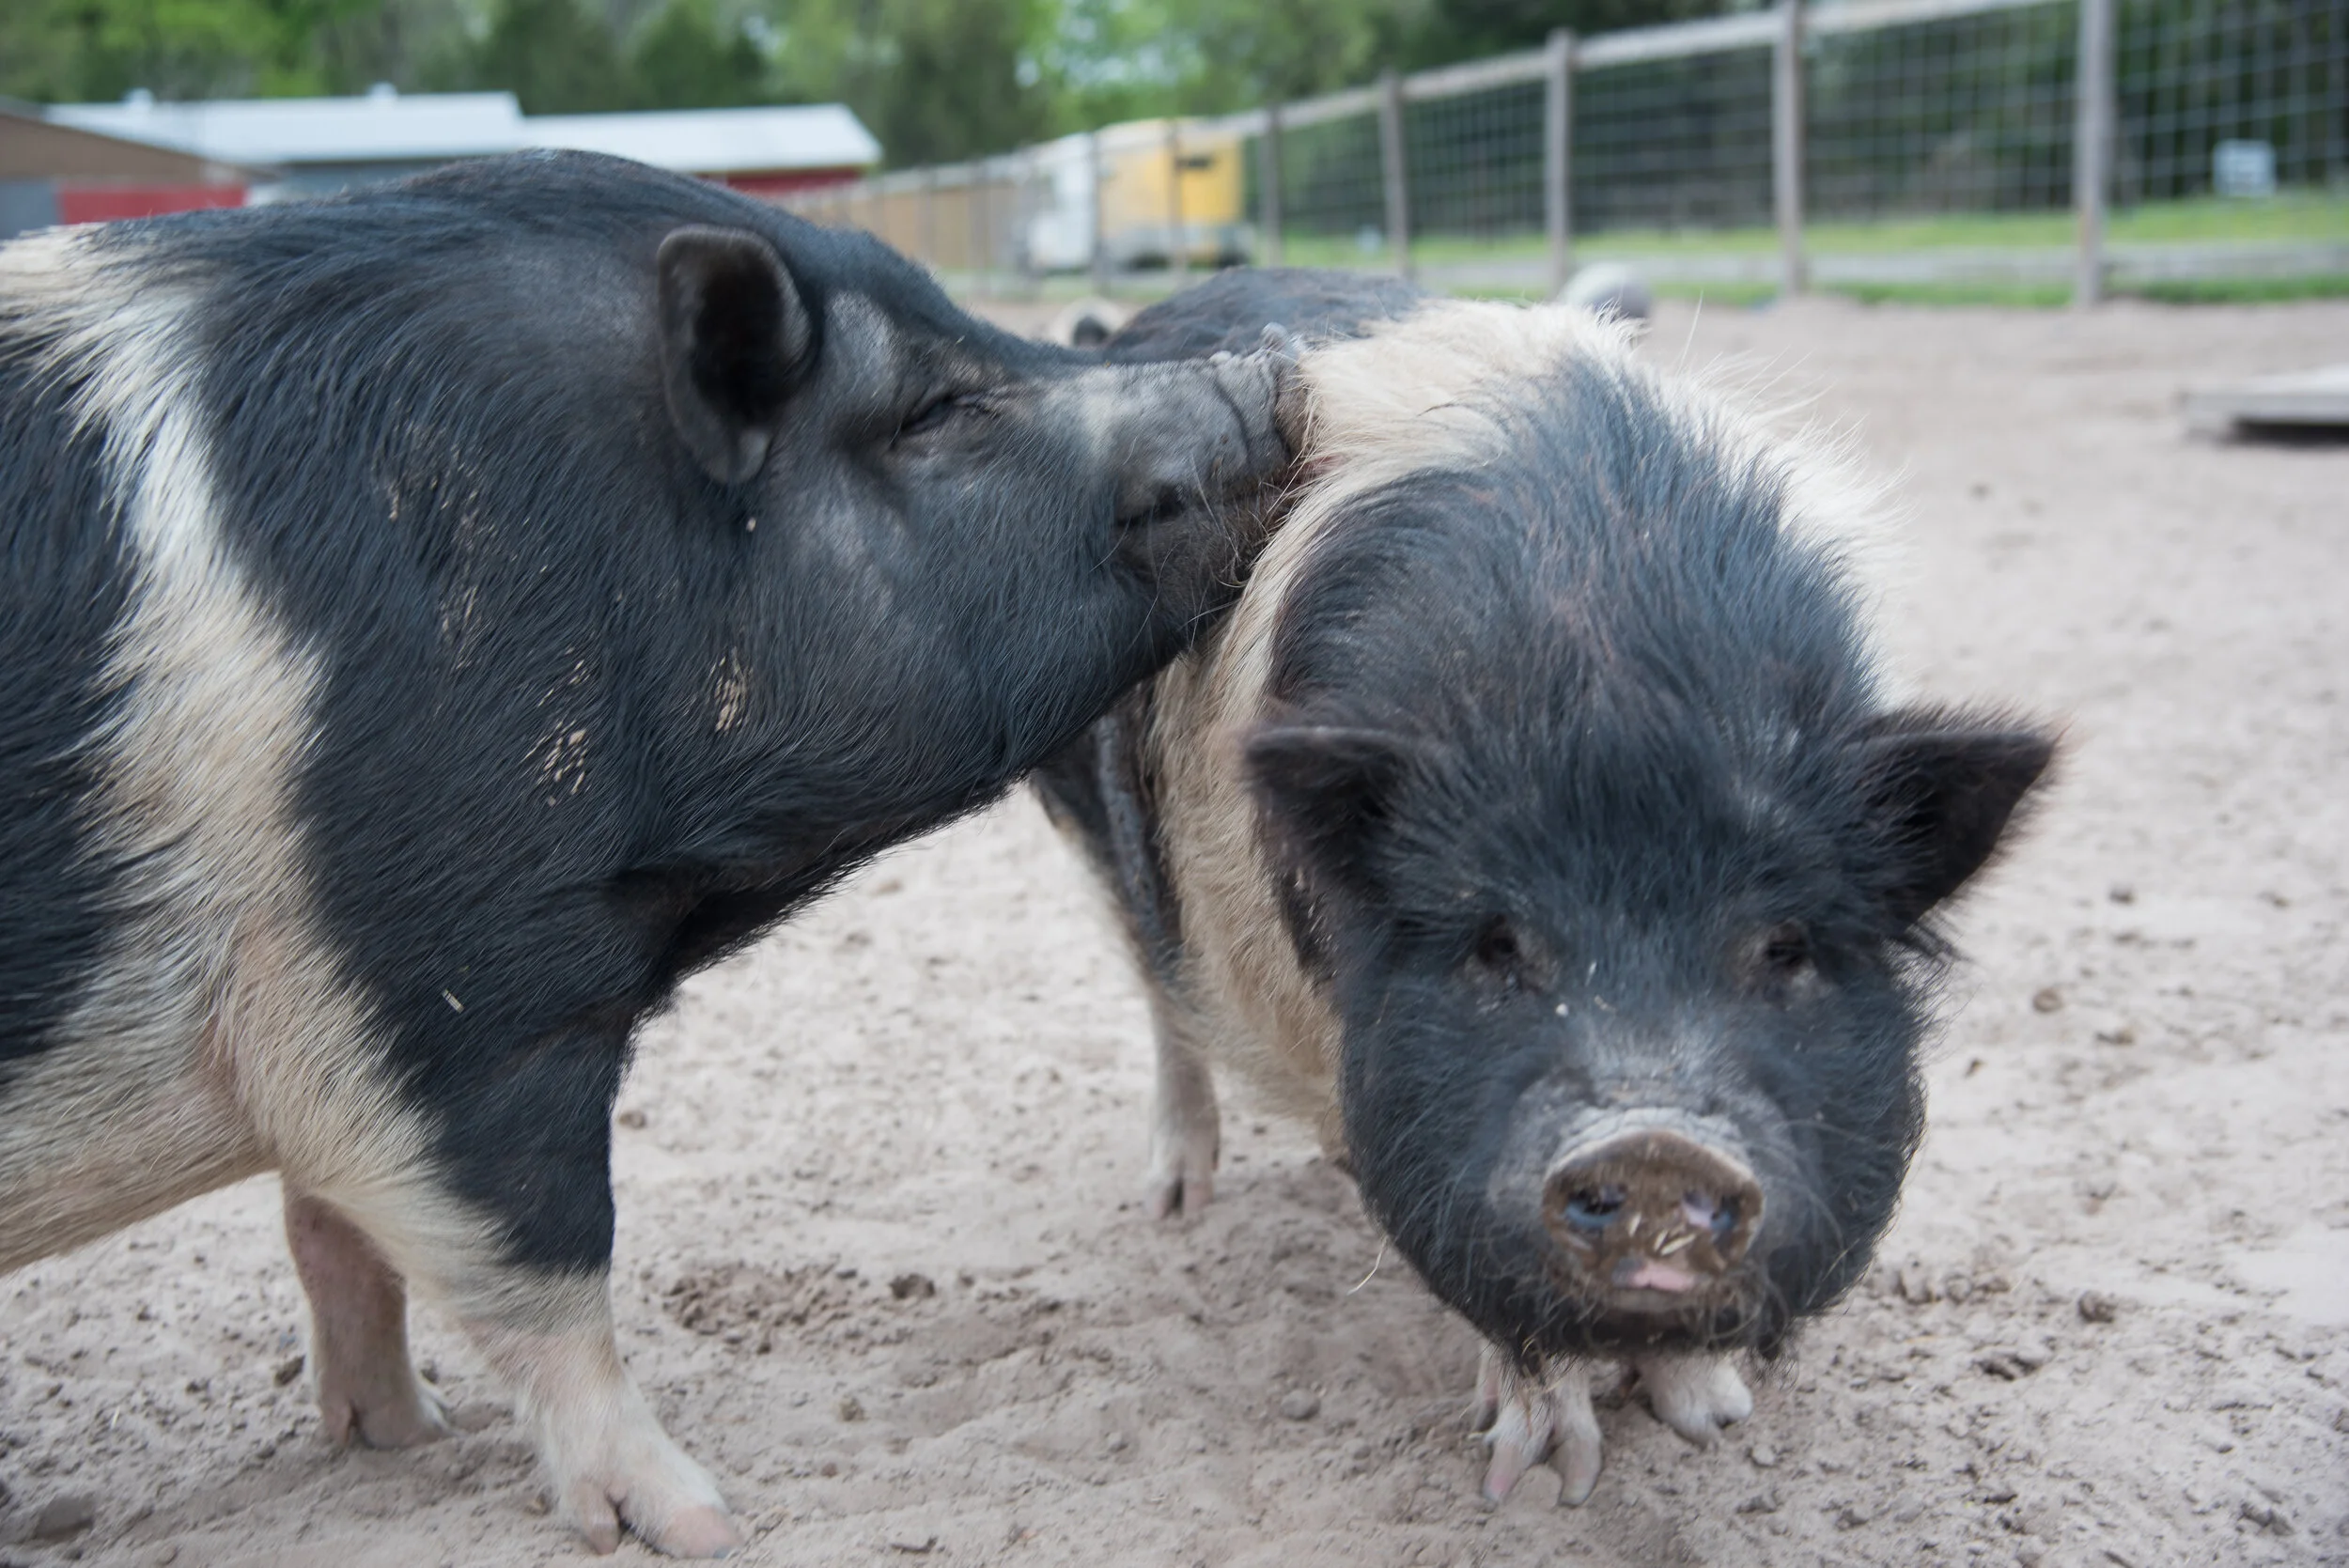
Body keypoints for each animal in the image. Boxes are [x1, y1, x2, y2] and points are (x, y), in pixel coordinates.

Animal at [0, 152, 1291, 1556]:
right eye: (933, 406)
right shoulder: (435, 980)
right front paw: (699, 1519)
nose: (1268, 365)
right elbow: (540, 1257)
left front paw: (399, 1439)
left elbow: (331, 1230)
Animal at [1035, 268, 2053, 1506]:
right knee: (1157, 989)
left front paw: (1711, 1419)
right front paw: (1542, 1474)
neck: (1616, 681)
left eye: (1784, 946)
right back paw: (1176, 1204)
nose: (1655, 1142)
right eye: (1497, 943)